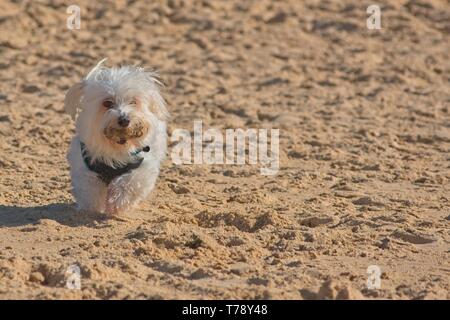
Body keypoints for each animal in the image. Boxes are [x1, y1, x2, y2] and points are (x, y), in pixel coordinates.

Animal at [64, 59, 168, 215]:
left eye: (133, 101)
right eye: (107, 103)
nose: (124, 119)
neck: (117, 145)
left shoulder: (142, 166)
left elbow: (129, 184)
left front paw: (117, 204)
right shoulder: (84, 165)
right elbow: (89, 188)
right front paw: (91, 207)